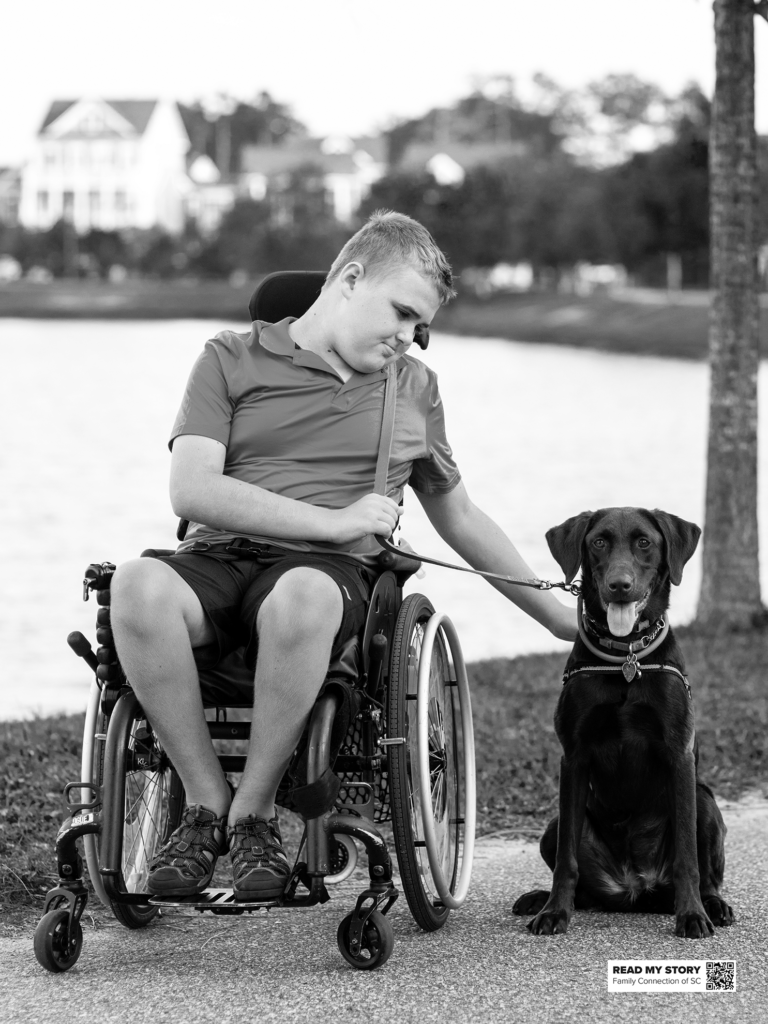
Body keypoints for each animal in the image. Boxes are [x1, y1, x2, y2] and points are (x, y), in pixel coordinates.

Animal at [514, 507, 737, 937]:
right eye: (599, 541)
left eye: (644, 542)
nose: (620, 586)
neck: (625, 658)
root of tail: (636, 887)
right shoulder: (574, 757)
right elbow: (566, 860)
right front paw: (554, 912)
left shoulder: (679, 755)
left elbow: (688, 858)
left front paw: (692, 915)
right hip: (554, 824)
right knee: (581, 881)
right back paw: (539, 898)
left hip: (704, 799)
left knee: (708, 873)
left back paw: (713, 905)